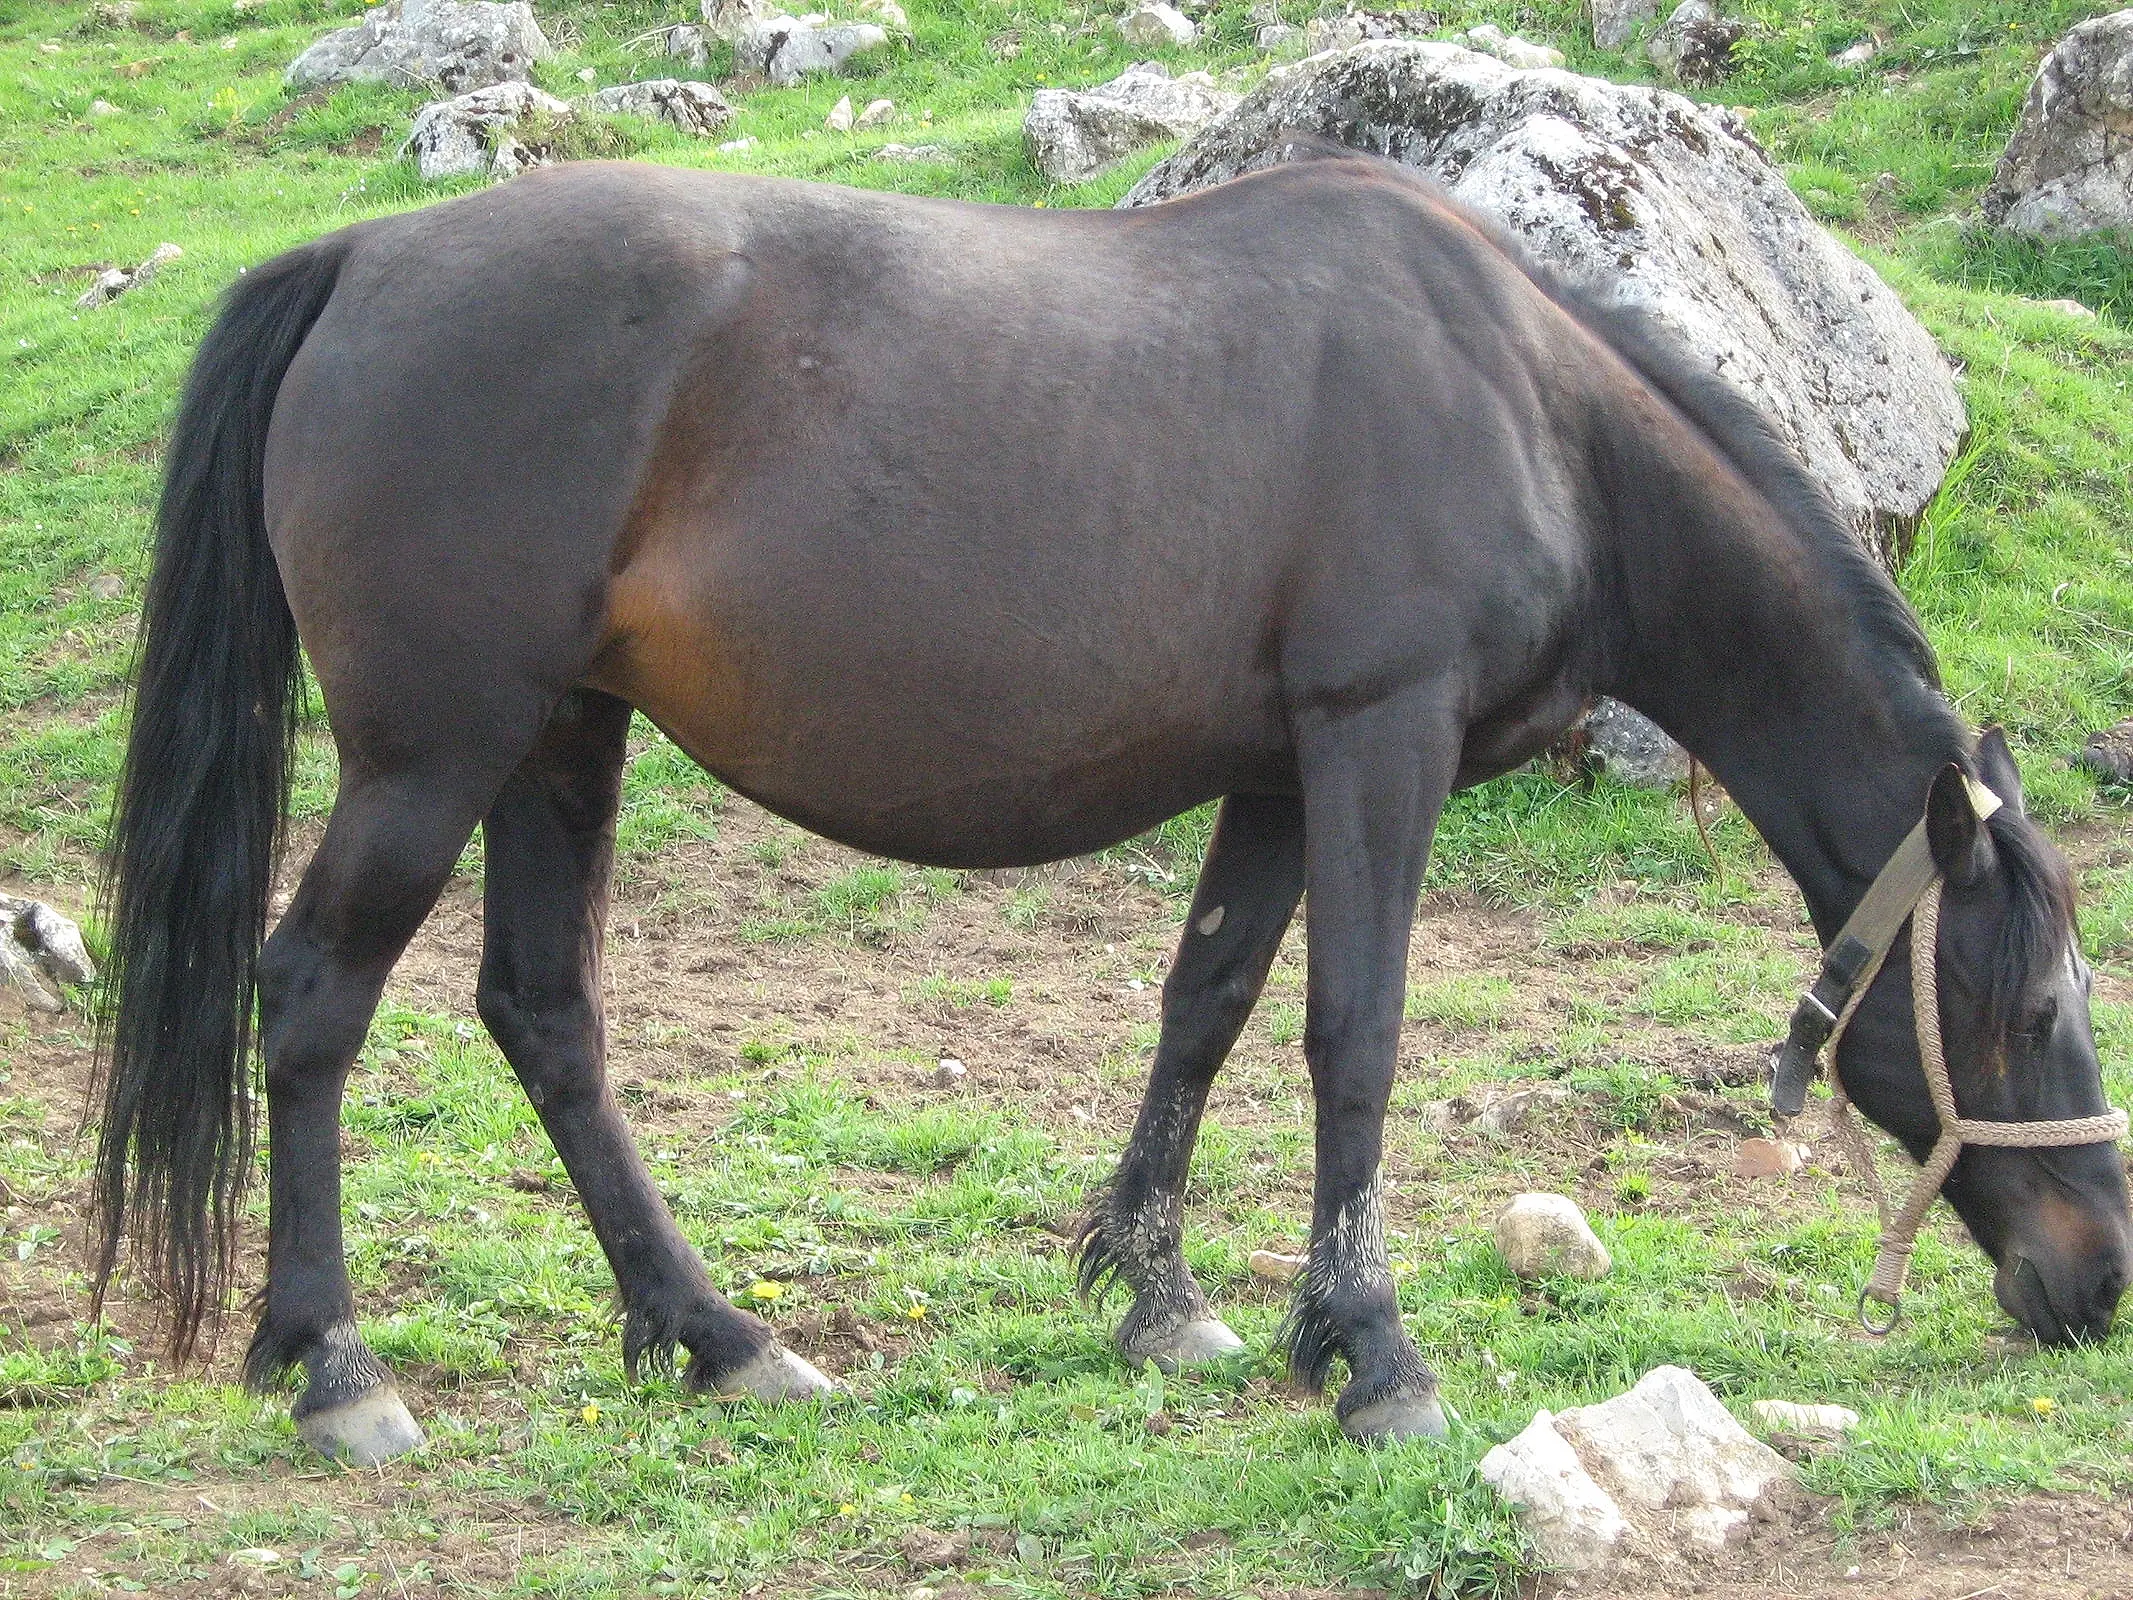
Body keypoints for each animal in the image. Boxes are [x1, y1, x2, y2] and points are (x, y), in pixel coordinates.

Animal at [91, 147, 2124, 1467]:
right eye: (2030, 1005)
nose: (2094, 1279)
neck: (1527, 406)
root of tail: (363, 254)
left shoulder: (1279, 776)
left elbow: (1206, 1005)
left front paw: (1163, 1297)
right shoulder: (1375, 744)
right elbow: (1354, 1036)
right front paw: (1374, 1354)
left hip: (562, 740)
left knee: (546, 1016)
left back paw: (721, 1339)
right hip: (435, 757)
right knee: (312, 1003)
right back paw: (335, 1367)